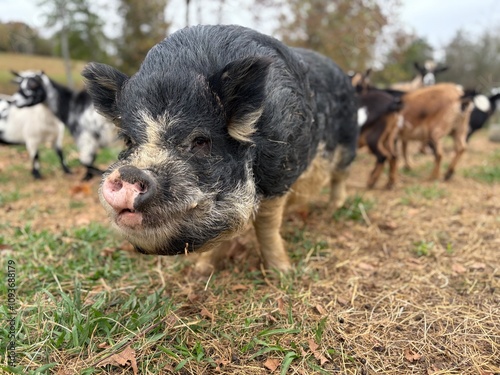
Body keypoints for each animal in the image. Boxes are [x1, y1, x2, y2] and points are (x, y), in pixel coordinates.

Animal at [82, 25, 358, 274]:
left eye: (201, 141)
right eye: (128, 141)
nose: (131, 173)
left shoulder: (278, 175)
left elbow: (267, 225)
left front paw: (282, 273)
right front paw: (201, 271)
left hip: (348, 143)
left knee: (340, 176)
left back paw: (333, 209)